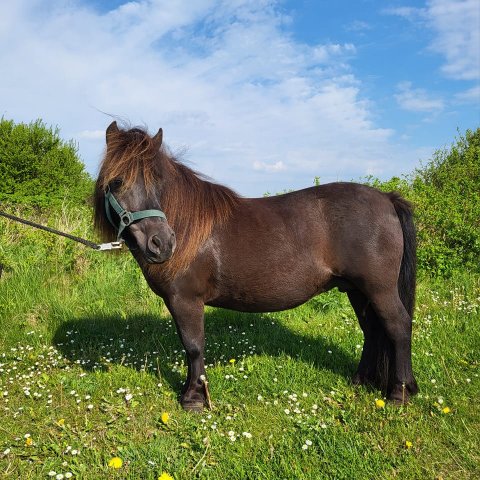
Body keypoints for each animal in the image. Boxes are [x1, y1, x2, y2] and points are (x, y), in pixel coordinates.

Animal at [93, 122, 416, 410]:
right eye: (117, 182)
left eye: (158, 182)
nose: (161, 244)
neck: (187, 228)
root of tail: (387, 198)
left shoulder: (185, 300)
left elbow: (193, 346)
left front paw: (194, 398)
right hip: (357, 290)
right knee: (372, 330)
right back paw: (361, 380)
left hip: (379, 289)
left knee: (398, 326)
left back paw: (399, 393)